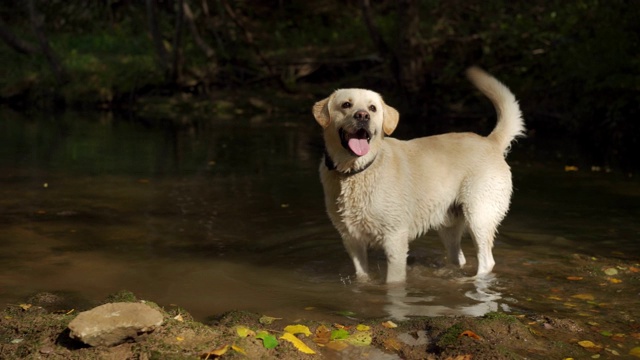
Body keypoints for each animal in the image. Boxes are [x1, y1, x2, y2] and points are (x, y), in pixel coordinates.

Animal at [312, 66, 524, 282]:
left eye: (372, 108)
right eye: (346, 105)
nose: (362, 116)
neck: (356, 171)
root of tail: (491, 141)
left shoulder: (395, 238)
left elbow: (393, 282)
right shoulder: (352, 240)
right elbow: (362, 276)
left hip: (480, 215)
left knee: (486, 261)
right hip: (448, 224)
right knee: (459, 258)